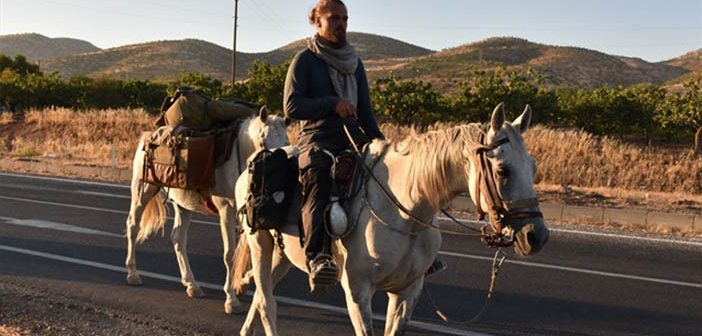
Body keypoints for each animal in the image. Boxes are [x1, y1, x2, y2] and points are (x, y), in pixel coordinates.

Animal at [125, 108, 290, 316]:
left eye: (287, 143)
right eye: (262, 142)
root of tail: (147, 137)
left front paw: (243, 283)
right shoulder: (226, 211)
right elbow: (229, 255)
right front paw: (231, 299)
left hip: (183, 205)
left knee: (178, 239)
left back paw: (191, 284)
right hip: (143, 190)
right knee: (133, 227)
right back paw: (133, 273)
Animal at [231, 103, 552, 334]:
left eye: (534, 167)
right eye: (503, 170)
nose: (536, 236)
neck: (404, 214)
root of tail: (248, 170)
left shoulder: (406, 293)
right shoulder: (358, 292)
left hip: (283, 255)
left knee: (260, 294)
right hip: (260, 246)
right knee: (267, 304)